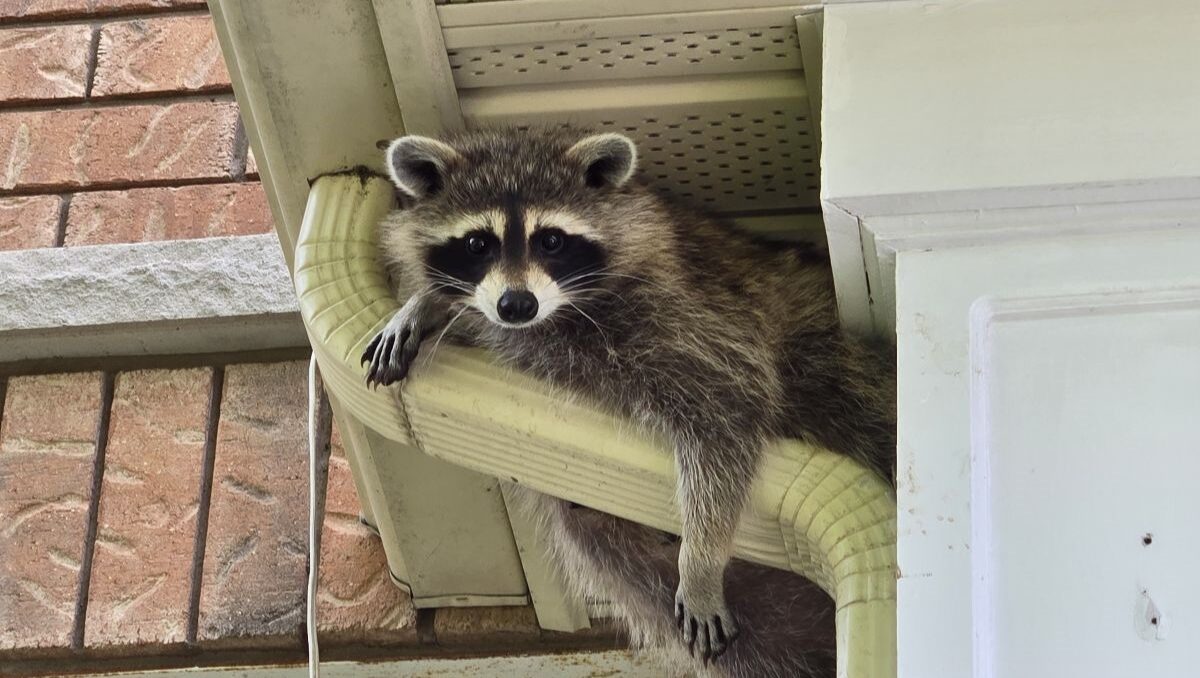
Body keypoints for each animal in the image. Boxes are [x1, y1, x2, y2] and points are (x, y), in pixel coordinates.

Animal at [362, 127, 896, 677]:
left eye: (551, 240)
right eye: (476, 243)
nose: (516, 305)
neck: (559, 313)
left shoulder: (690, 315)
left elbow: (727, 409)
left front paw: (701, 559)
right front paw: (423, 304)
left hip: (831, 361)